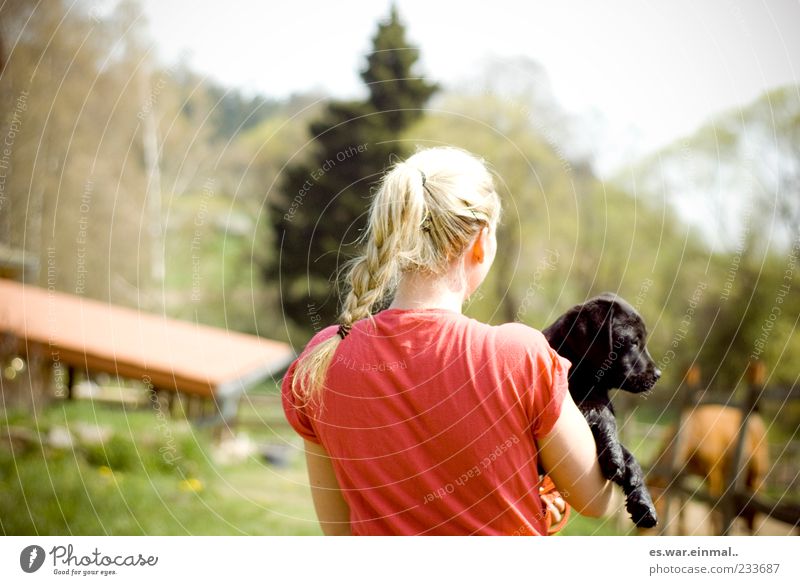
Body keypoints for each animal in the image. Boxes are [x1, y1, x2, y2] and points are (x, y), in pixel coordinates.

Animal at [544, 294, 664, 528]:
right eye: (633, 342)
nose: (658, 374)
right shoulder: (575, 405)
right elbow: (605, 416)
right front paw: (614, 455)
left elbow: (630, 455)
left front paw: (643, 501)